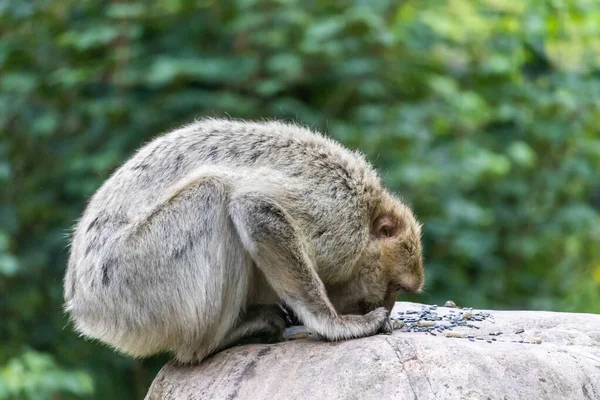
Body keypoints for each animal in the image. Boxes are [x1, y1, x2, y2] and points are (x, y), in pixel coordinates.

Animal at [63, 117, 424, 364]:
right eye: (396, 285)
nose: (387, 306)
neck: (367, 211)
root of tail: (82, 302)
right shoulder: (339, 217)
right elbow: (254, 208)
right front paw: (336, 325)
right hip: (130, 279)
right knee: (213, 191)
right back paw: (214, 341)